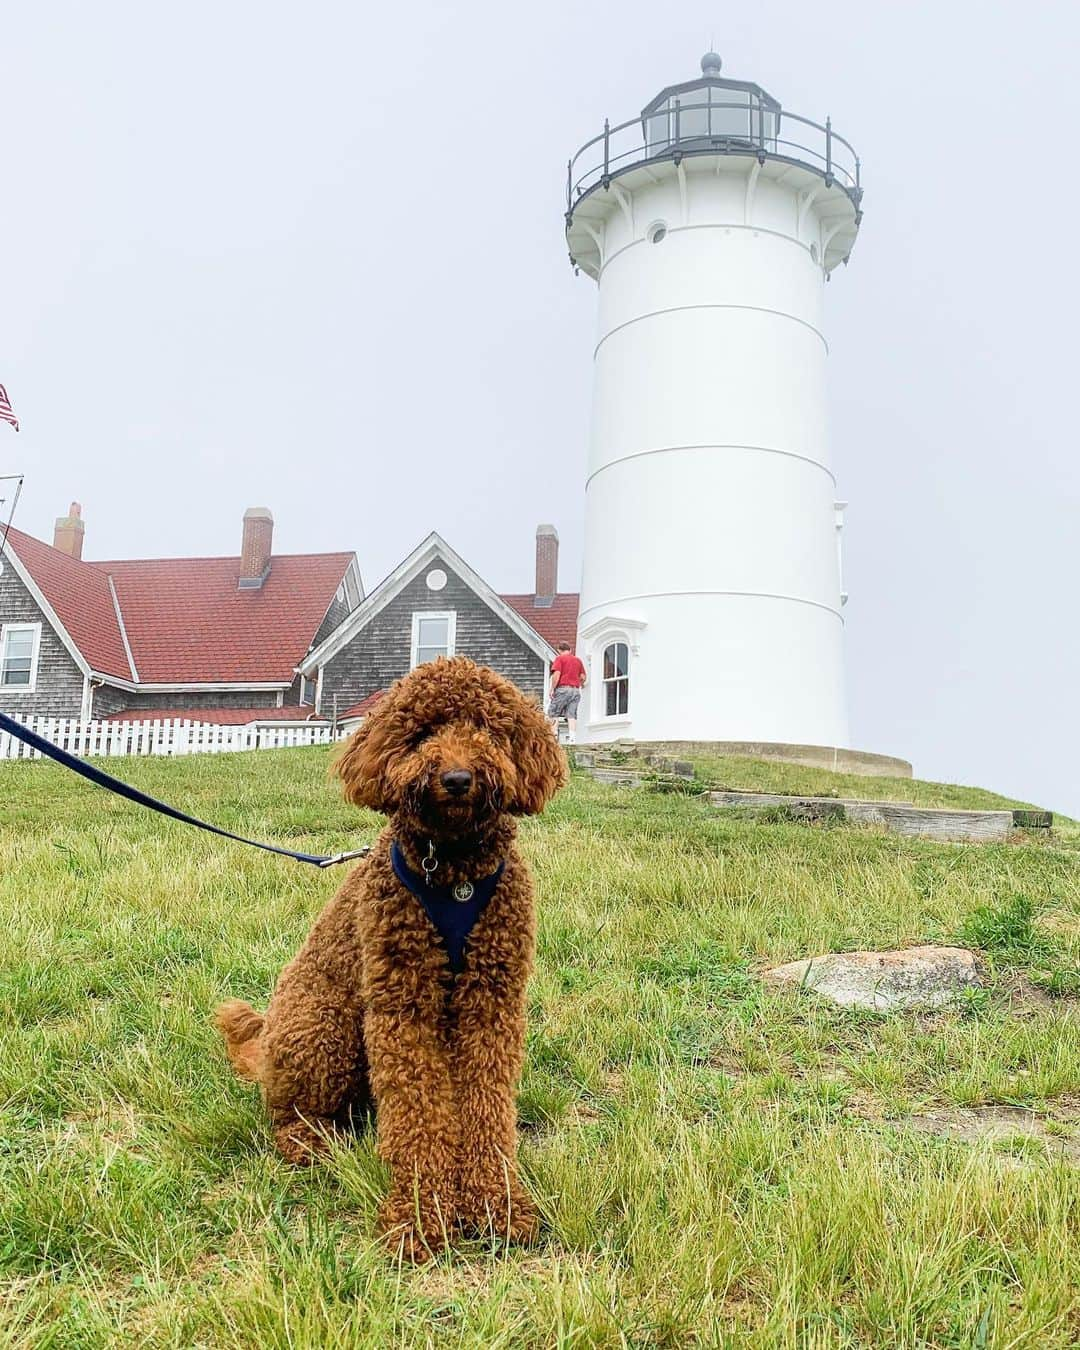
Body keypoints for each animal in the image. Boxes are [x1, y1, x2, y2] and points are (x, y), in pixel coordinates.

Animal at [211, 658, 564, 1258]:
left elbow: (488, 1109)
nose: (457, 779)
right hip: (322, 1029)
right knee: (284, 1113)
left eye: (488, 731)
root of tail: (266, 1042)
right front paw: (422, 1216)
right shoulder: (404, 1008)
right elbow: (416, 1116)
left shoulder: (491, 1004)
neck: (454, 872)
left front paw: (497, 1204)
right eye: (421, 734)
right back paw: (309, 1141)